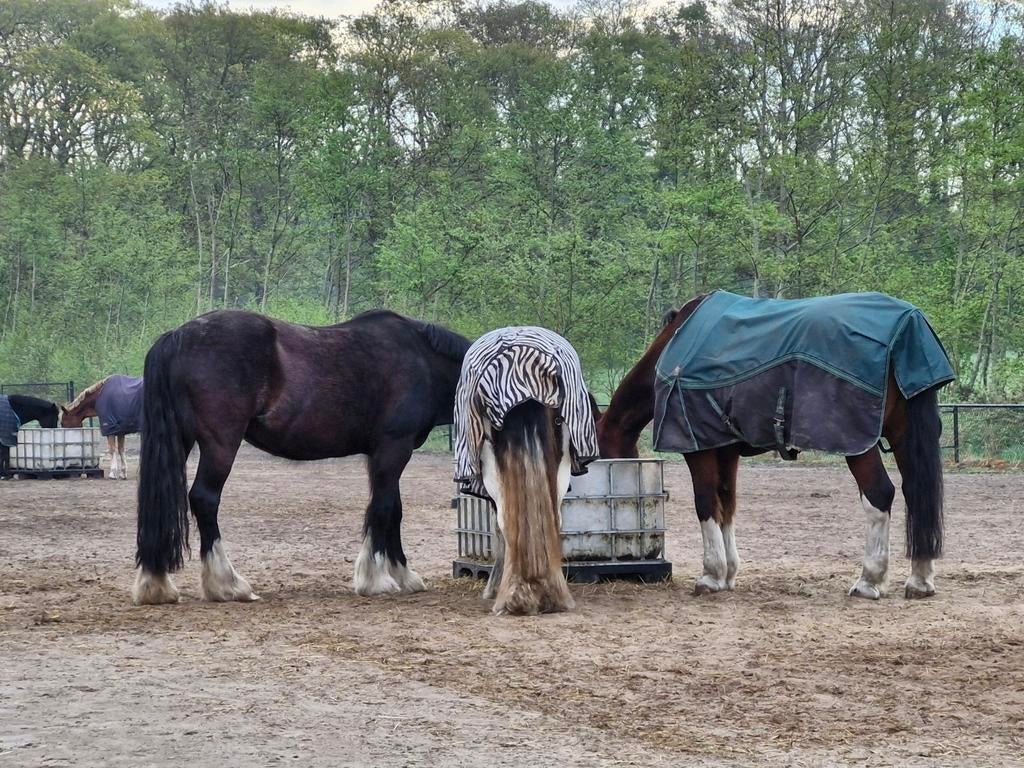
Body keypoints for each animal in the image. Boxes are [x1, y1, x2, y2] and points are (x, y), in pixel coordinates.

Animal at [133, 308, 470, 606]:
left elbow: (391, 509)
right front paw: (377, 580)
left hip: (180, 440)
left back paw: (156, 584)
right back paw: (227, 584)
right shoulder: (393, 450)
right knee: (205, 499)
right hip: (220, 444)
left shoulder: (381, 456)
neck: (422, 359)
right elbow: (385, 509)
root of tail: (178, 336)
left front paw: (402, 574)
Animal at [597, 292, 952, 600]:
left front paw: (711, 575)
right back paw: (920, 580)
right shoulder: (725, 448)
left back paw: (869, 580)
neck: (675, 346)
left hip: (858, 445)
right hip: (903, 435)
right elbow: (726, 504)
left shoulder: (698, 448)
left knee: (879, 494)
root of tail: (907, 325)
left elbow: (705, 502)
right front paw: (729, 573)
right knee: (915, 491)